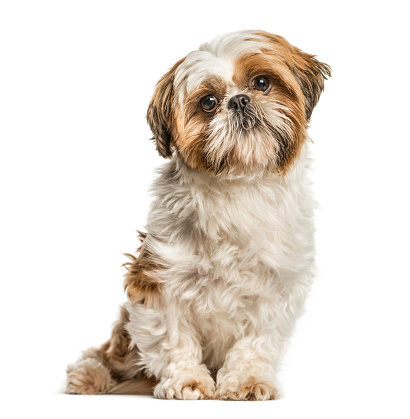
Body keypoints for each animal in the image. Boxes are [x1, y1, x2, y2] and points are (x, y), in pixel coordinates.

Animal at [66, 29, 330, 400]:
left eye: (262, 83)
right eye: (208, 102)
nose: (239, 101)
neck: (238, 189)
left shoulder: (278, 288)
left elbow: (255, 341)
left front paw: (247, 381)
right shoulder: (157, 280)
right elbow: (173, 338)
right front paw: (187, 380)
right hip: (124, 341)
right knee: (110, 355)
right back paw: (90, 375)